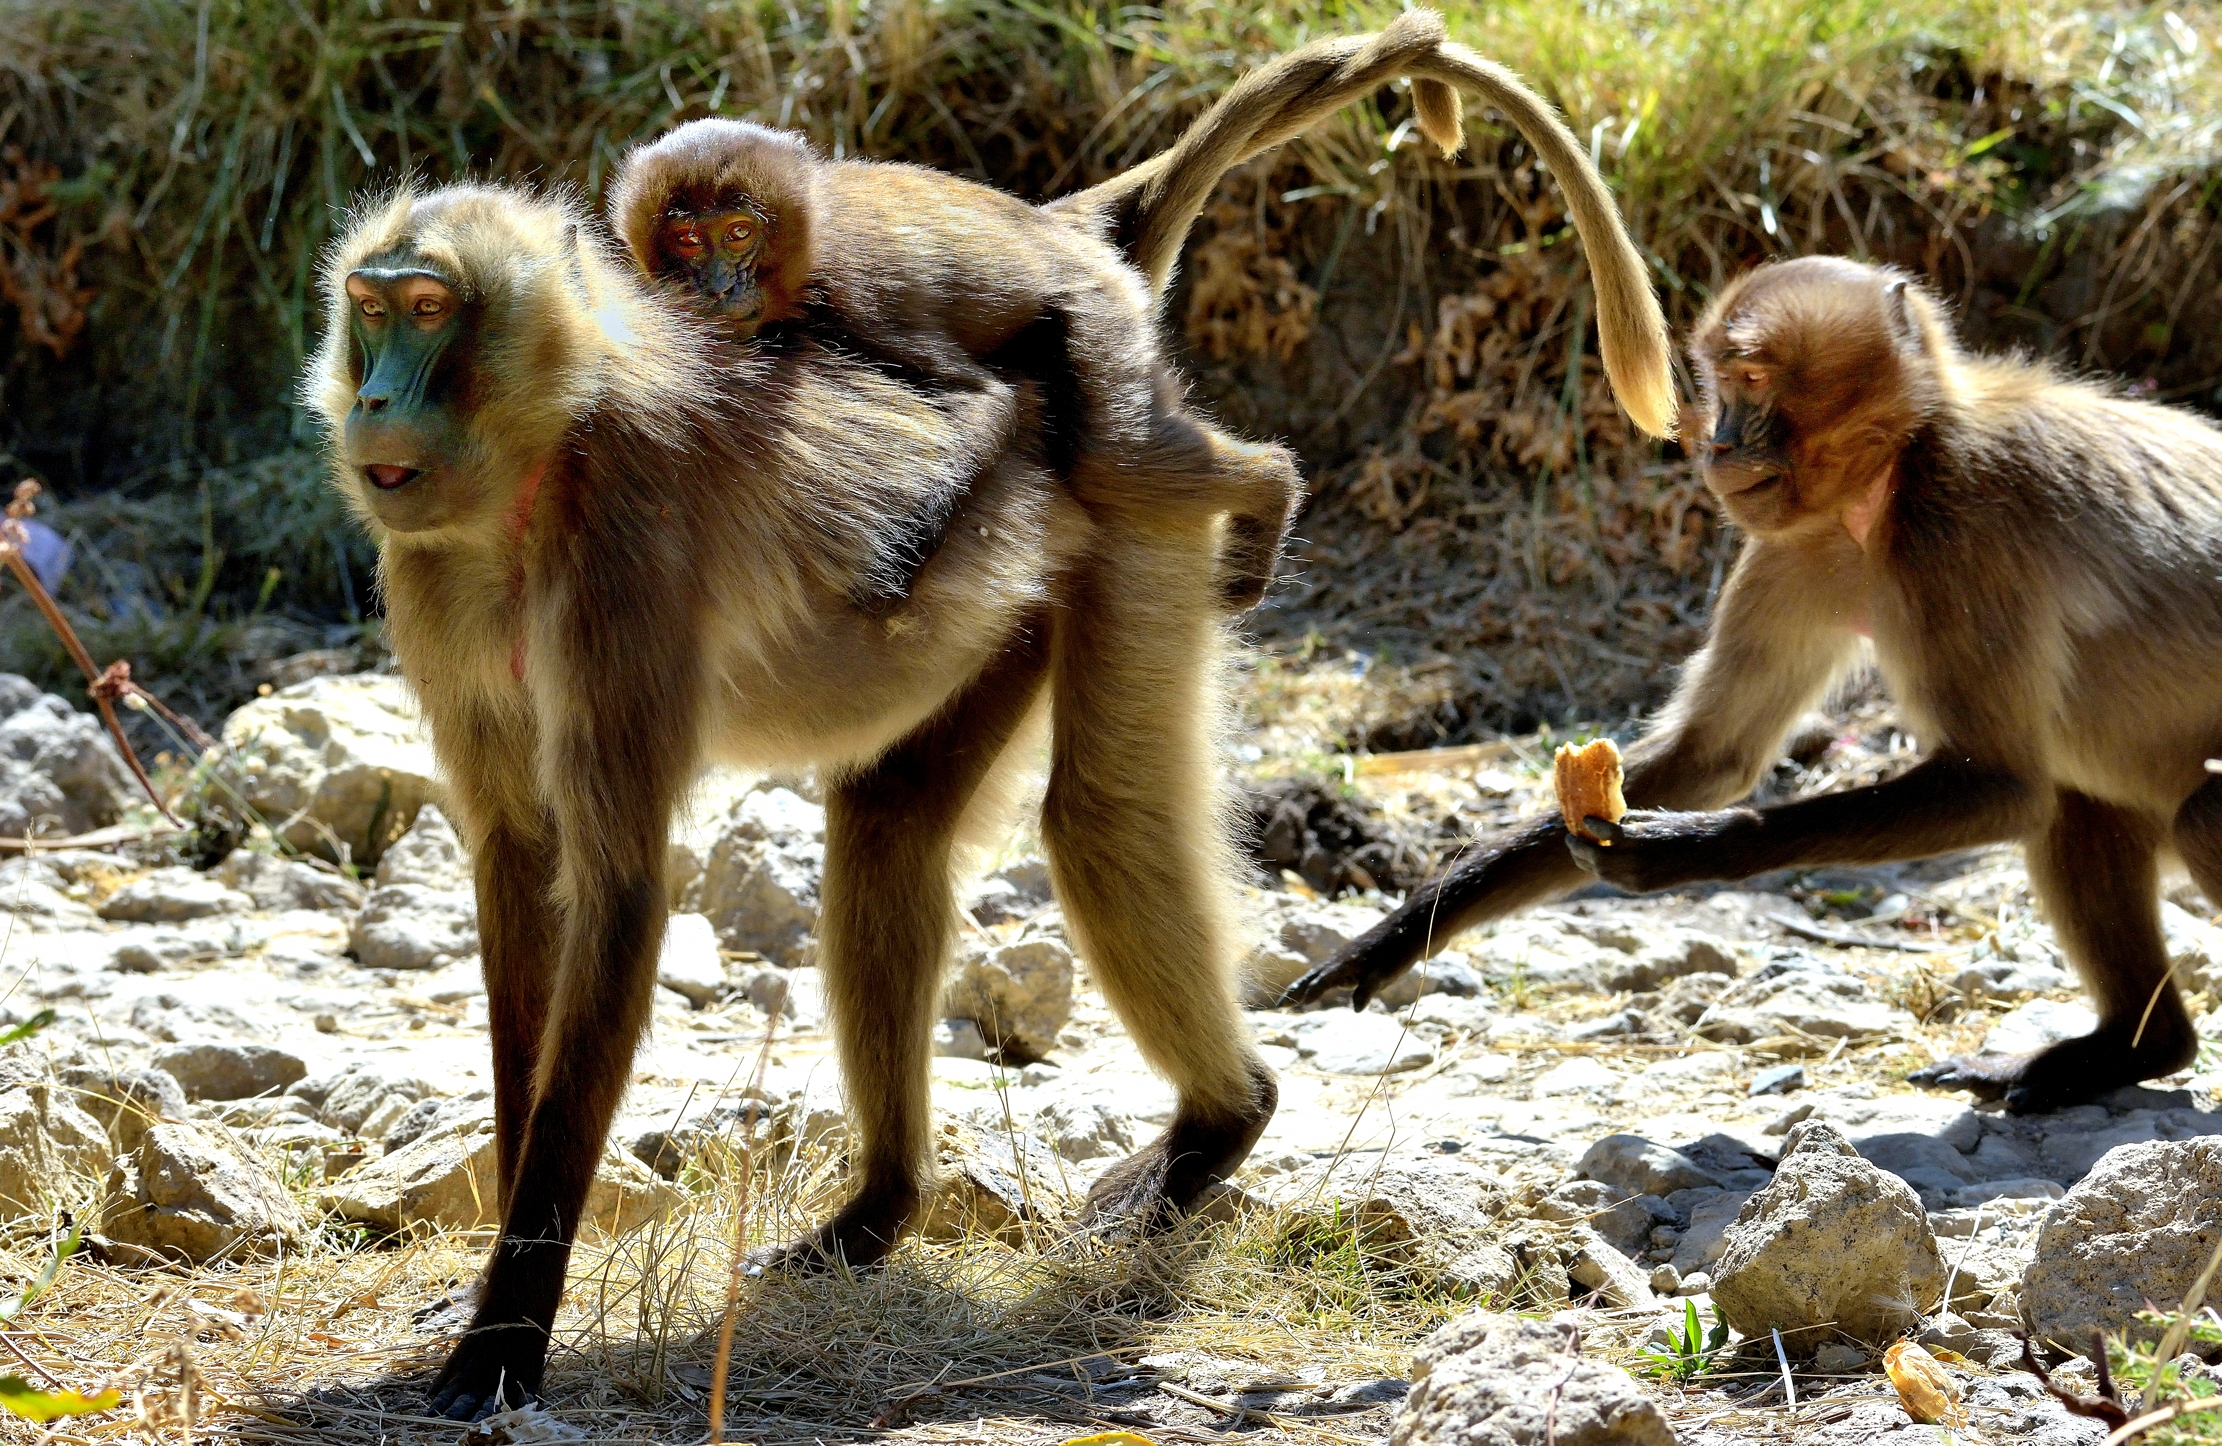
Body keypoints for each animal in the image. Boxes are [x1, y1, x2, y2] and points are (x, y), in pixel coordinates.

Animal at [307, 19, 1672, 1419]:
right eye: (373, 309)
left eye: (430, 312)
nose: (371, 404)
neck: (540, 465)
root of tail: (1075, 240)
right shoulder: (434, 574)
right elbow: (521, 863)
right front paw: (492, 1272)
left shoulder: (623, 557)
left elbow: (618, 888)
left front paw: (509, 1330)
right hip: (1004, 592)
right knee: (890, 828)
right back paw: (881, 1209)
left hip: (1118, 493)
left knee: (1098, 805)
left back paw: (1220, 1116)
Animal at [1284, 253, 2222, 1120]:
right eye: (1718, 384)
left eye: (1753, 383)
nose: (1719, 443)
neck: (1897, 469)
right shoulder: (1795, 546)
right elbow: (1712, 755)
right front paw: (1406, 928)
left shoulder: (1961, 528)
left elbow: (2000, 785)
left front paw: (1695, 849)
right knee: (2083, 814)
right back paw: (2139, 1048)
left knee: (2177, 815)